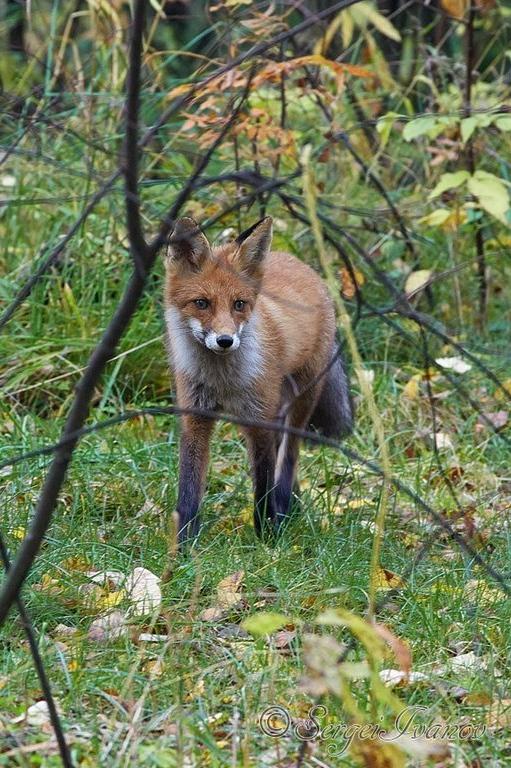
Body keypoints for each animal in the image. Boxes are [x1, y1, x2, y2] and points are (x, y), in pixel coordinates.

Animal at [163, 213, 352, 544]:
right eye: (202, 303)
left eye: (239, 304)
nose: (225, 341)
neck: (222, 382)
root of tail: (298, 262)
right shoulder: (195, 417)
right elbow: (189, 487)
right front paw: (184, 544)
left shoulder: (259, 419)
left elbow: (263, 484)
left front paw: (268, 537)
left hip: (301, 399)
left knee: (287, 458)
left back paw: (286, 508)